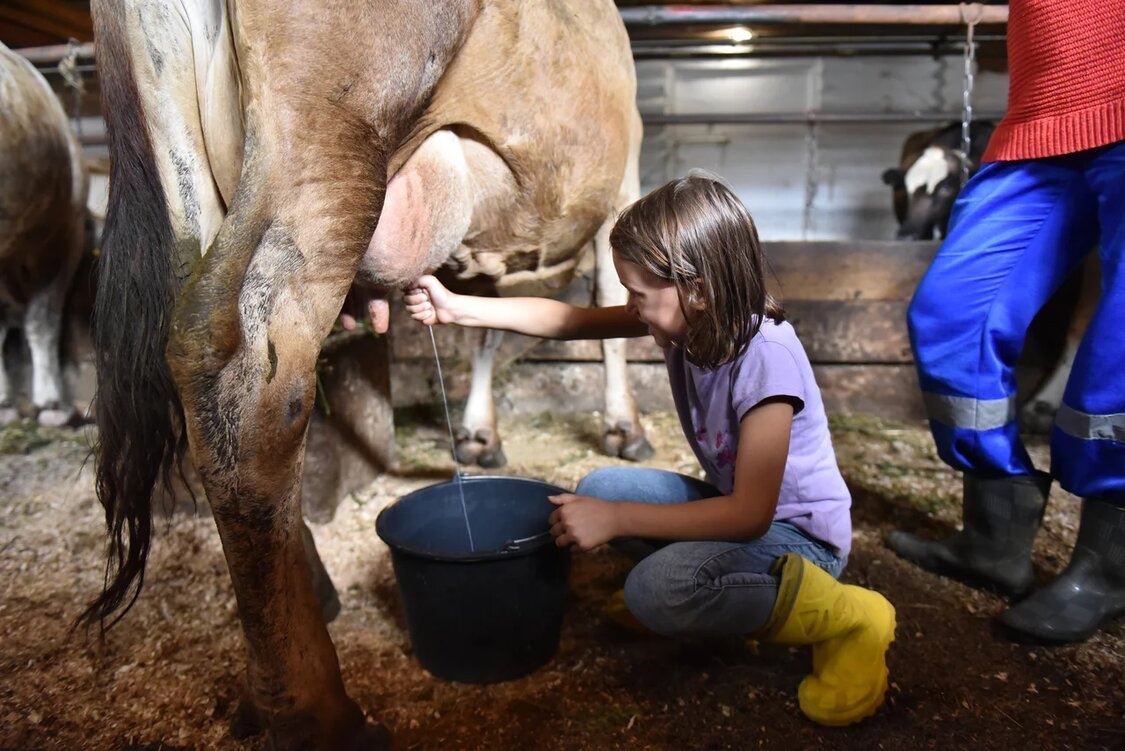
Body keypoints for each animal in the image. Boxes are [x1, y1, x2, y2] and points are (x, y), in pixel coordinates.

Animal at [87, 2, 648, 746]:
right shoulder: (625, 180)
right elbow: (612, 302)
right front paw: (623, 427)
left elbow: (486, 327)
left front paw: (478, 434)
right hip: (326, 143)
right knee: (253, 376)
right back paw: (310, 709)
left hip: (184, 159)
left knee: (200, 349)